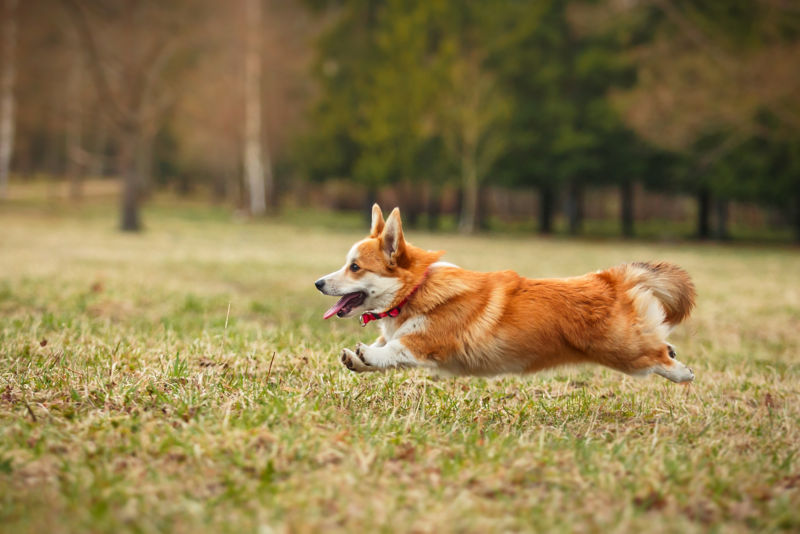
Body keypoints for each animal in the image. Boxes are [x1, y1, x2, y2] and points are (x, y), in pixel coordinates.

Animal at [316, 203, 696, 384]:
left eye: (354, 267)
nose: (318, 283)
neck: (414, 291)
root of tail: (610, 278)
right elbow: (383, 352)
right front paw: (357, 359)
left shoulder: (430, 342)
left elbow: (395, 348)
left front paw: (367, 354)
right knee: (660, 343)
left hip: (623, 352)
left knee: (656, 355)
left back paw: (683, 372)